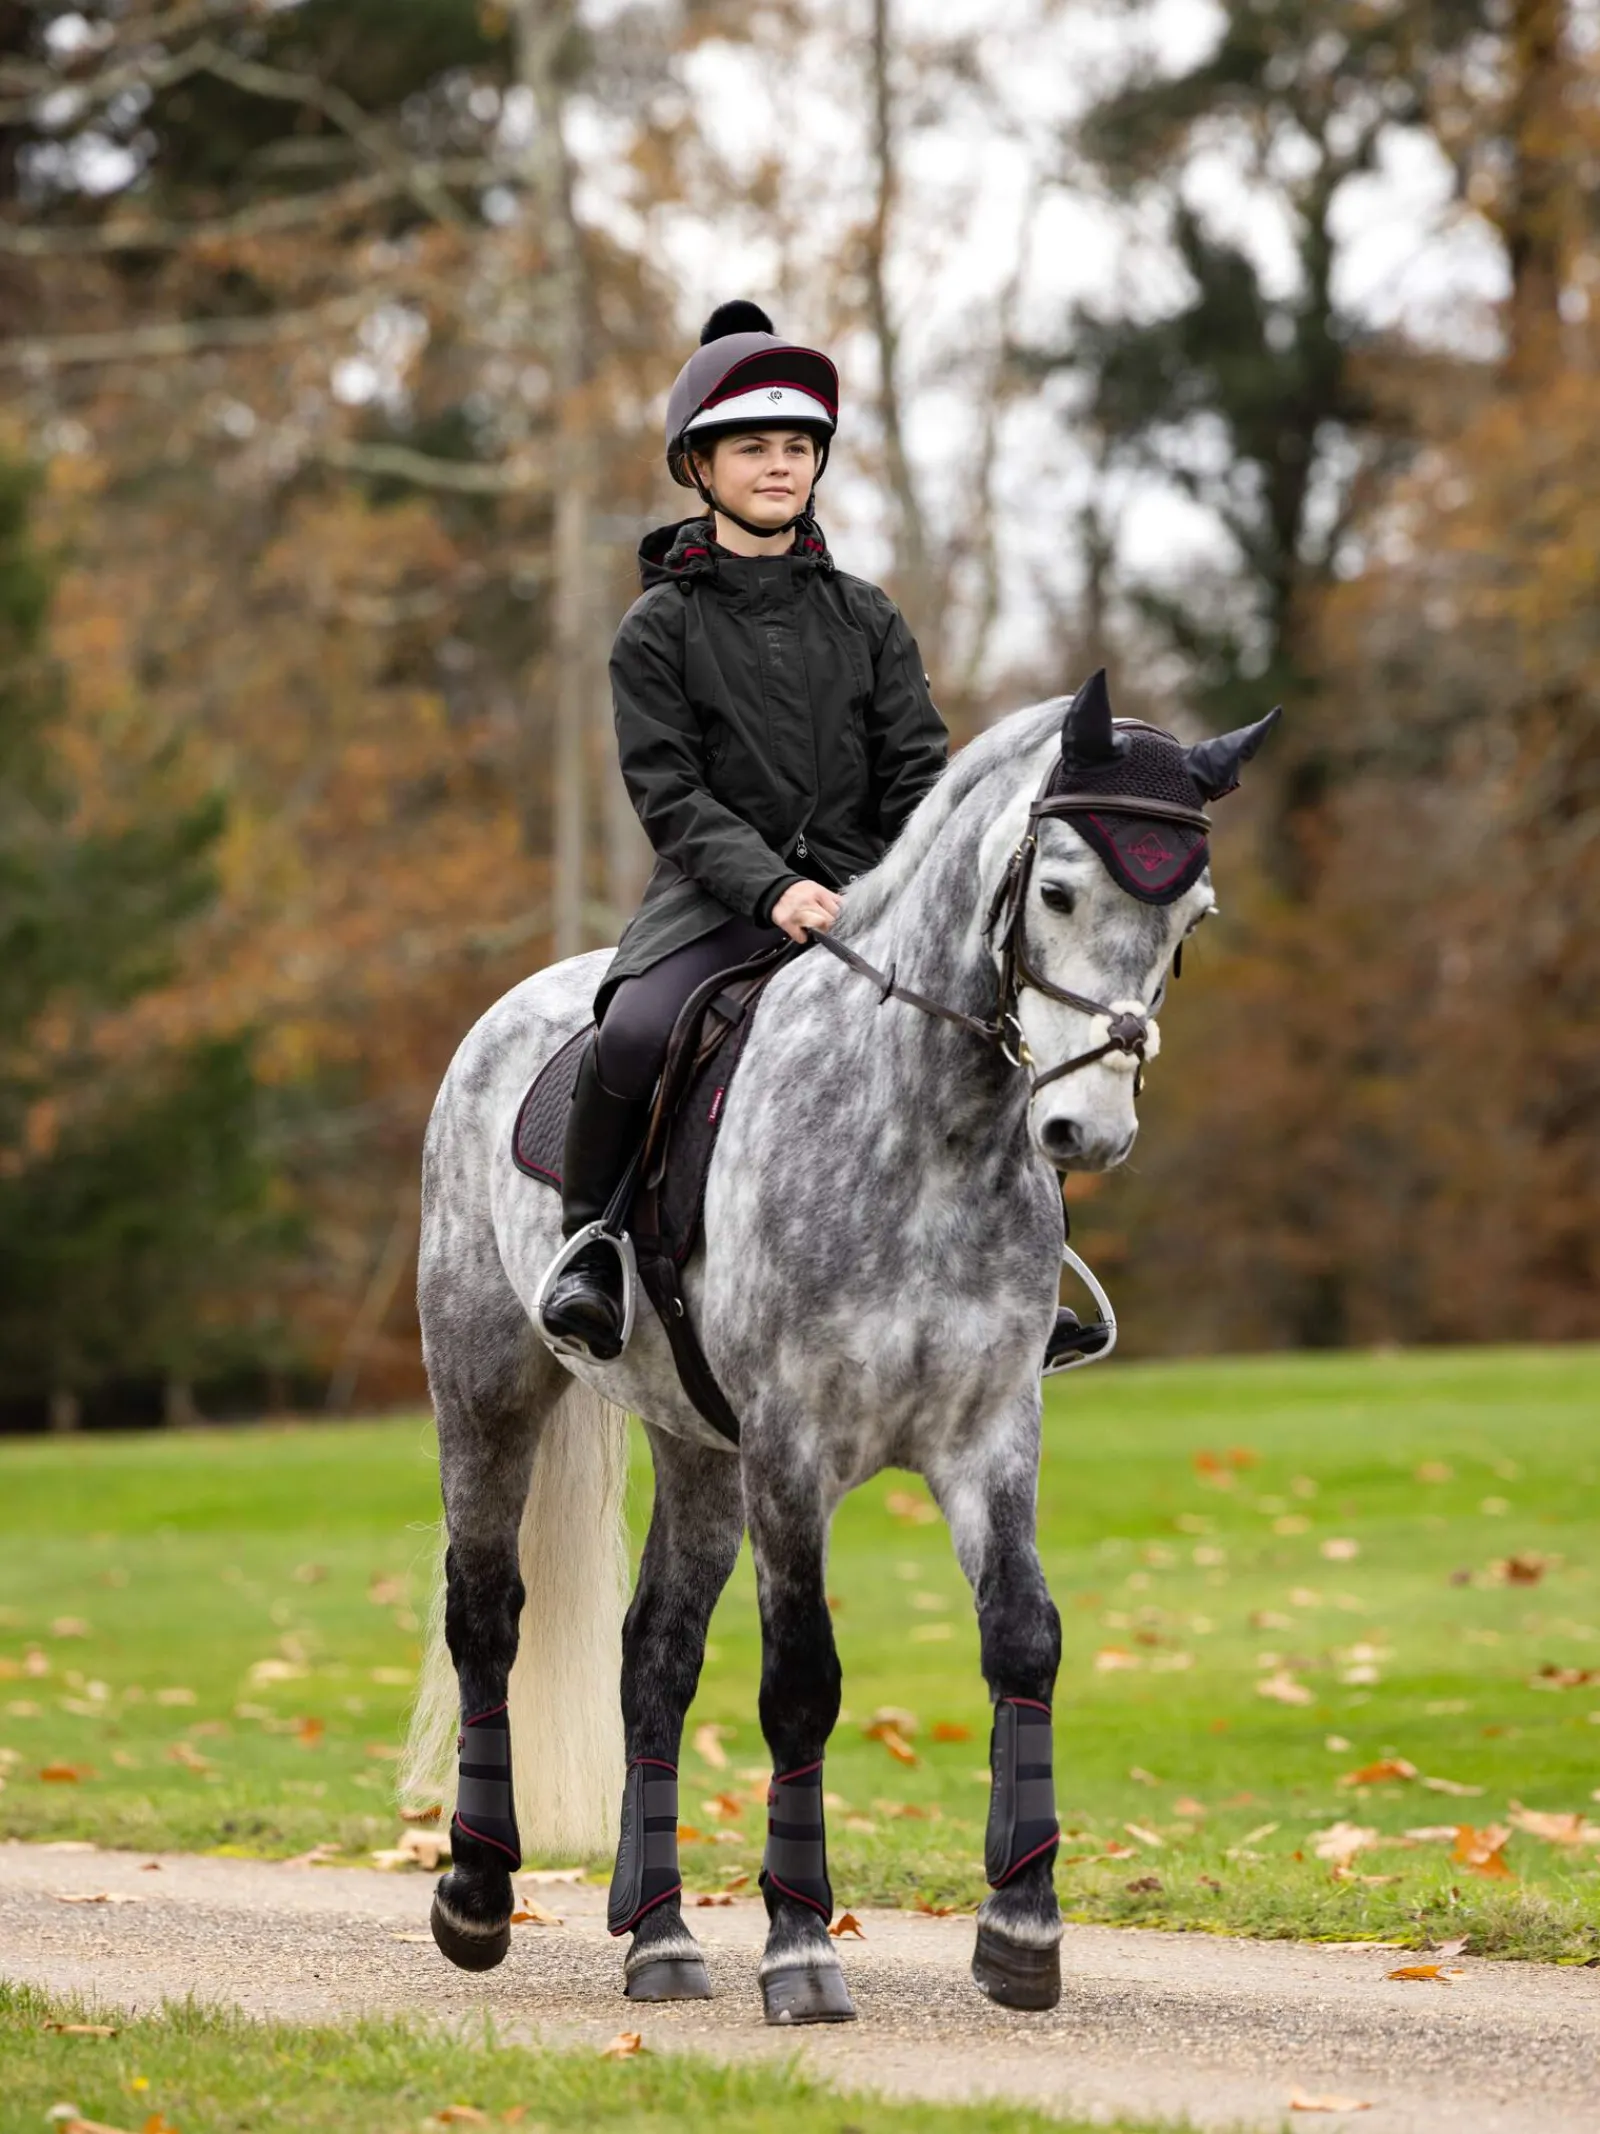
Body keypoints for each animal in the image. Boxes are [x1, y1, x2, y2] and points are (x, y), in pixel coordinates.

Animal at [402, 671, 1277, 2023]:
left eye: (1190, 915)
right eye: (1059, 889)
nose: (1087, 1129)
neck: (925, 1132)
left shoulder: (987, 1437)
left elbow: (1024, 1635)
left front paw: (1021, 1929)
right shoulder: (792, 1450)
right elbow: (802, 1680)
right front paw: (802, 1947)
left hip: (698, 1448)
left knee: (654, 1656)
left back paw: (658, 1936)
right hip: (491, 1390)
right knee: (487, 1614)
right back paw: (478, 1899)